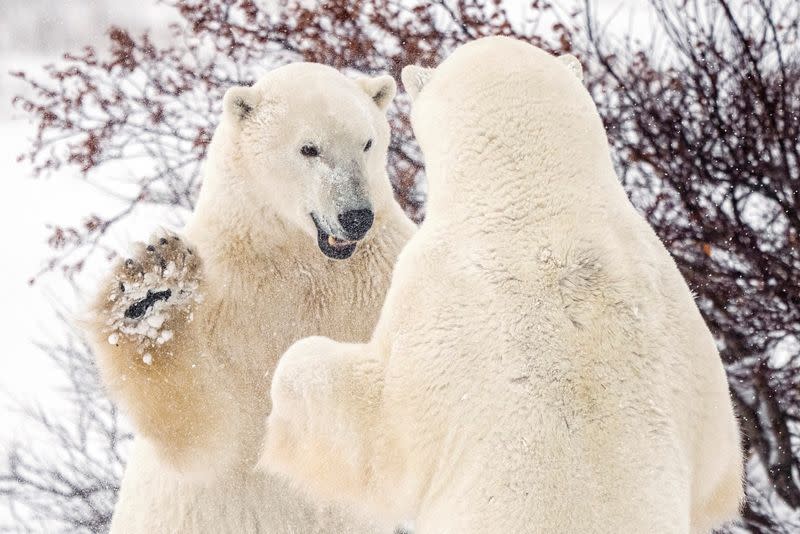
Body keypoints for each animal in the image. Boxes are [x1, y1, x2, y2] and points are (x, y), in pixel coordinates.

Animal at [85, 63, 416, 534]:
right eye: (309, 148)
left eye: (367, 142)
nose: (356, 216)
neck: (303, 261)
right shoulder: (225, 298)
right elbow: (201, 430)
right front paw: (148, 294)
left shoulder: (384, 273)